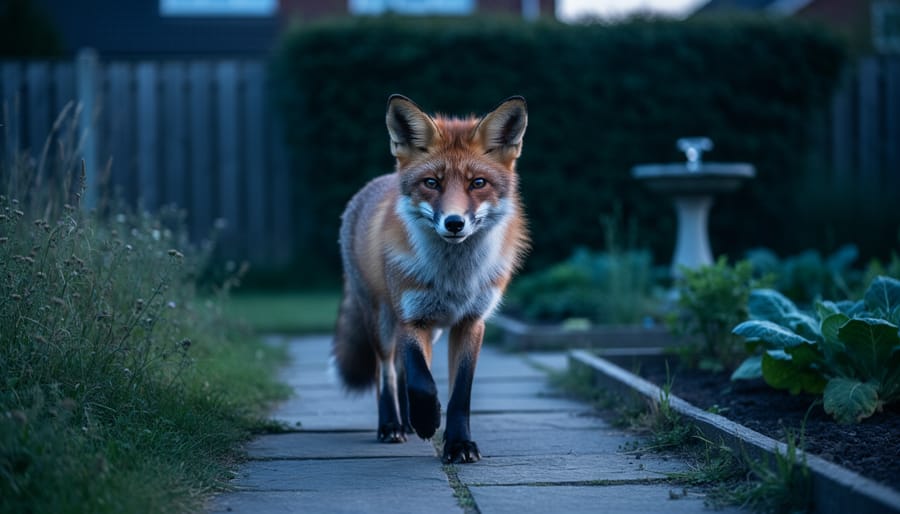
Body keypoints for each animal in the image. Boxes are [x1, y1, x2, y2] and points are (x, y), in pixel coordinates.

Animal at [331, 95, 529, 464]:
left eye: (477, 183)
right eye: (432, 183)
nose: (454, 223)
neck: (455, 279)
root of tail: (374, 185)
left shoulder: (470, 322)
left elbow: (459, 393)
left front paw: (459, 444)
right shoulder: (412, 317)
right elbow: (422, 383)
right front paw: (427, 420)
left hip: (432, 330)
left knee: (401, 369)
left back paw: (407, 422)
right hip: (382, 320)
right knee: (387, 371)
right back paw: (392, 425)